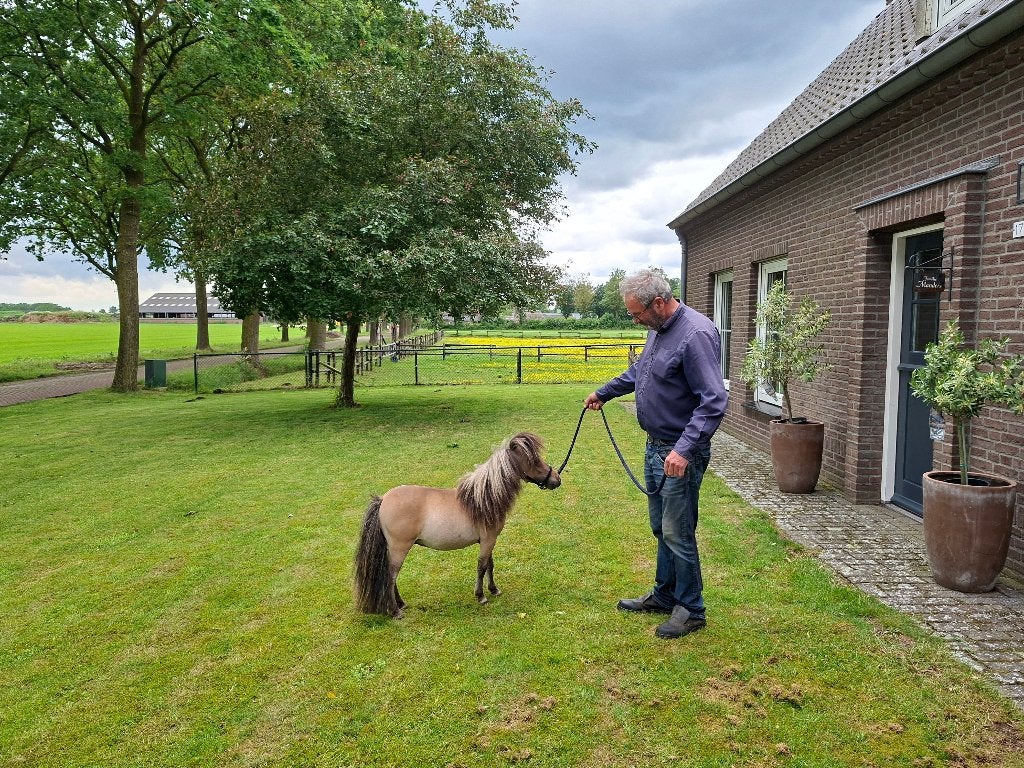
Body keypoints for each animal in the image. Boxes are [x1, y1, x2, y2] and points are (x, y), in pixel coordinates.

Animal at [353, 432, 561, 617]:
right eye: (534, 461)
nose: (557, 479)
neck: (483, 499)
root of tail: (383, 500)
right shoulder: (488, 541)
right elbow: (482, 566)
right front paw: (481, 596)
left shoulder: (489, 541)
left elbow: (490, 565)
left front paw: (494, 590)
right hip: (399, 548)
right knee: (391, 576)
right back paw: (396, 612)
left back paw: (401, 604)